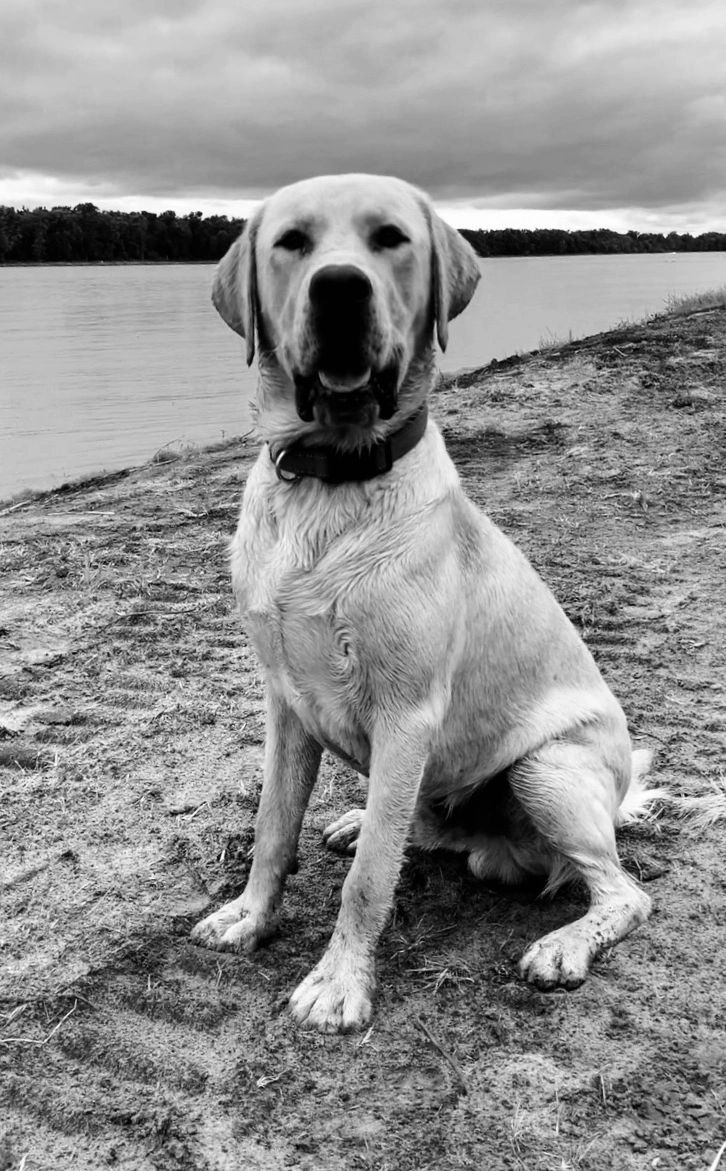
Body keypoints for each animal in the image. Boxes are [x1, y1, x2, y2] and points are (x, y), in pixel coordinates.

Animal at [190, 173, 655, 1035]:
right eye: (292, 242)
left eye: (391, 239)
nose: (341, 288)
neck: (333, 478)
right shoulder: (284, 703)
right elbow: (273, 828)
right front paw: (249, 915)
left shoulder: (407, 713)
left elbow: (372, 876)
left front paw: (339, 983)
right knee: (416, 825)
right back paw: (356, 820)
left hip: (545, 766)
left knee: (622, 889)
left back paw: (564, 946)